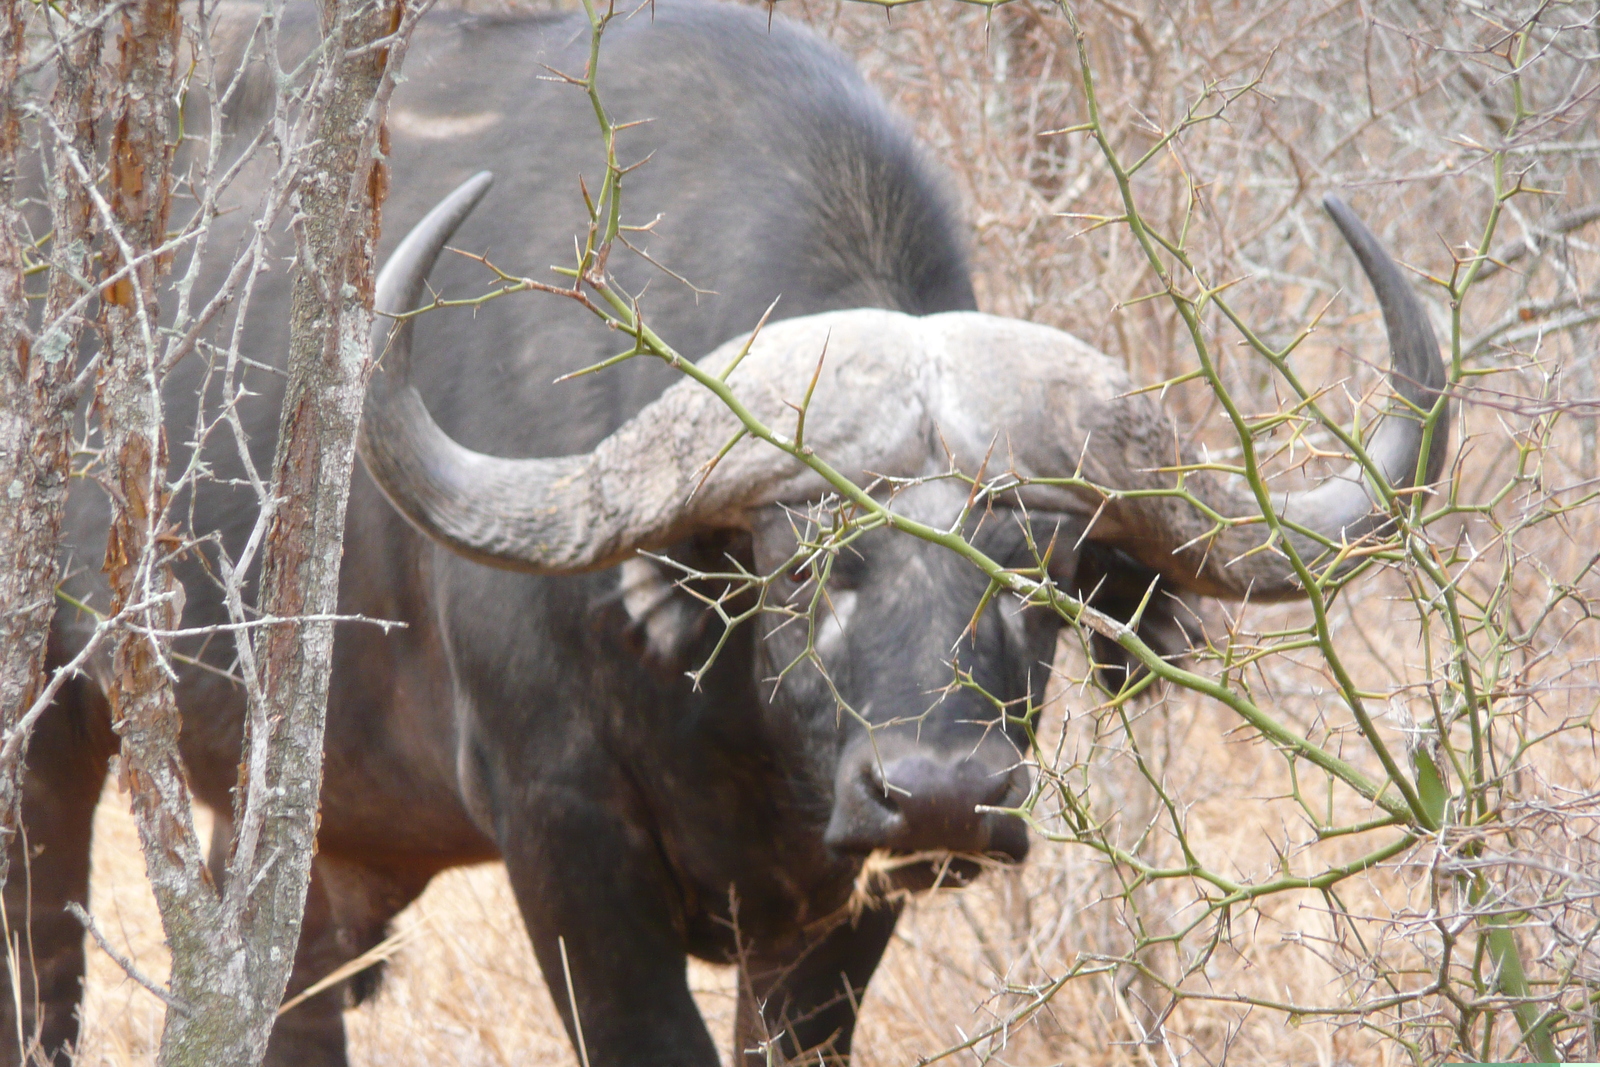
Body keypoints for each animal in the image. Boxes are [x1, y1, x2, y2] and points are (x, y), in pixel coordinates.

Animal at [12, 2, 1446, 1067]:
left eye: (1037, 581)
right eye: (806, 567)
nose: (942, 791)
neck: (736, 725)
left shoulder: (839, 899)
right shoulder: (566, 841)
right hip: (51, 728)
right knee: (47, 962)